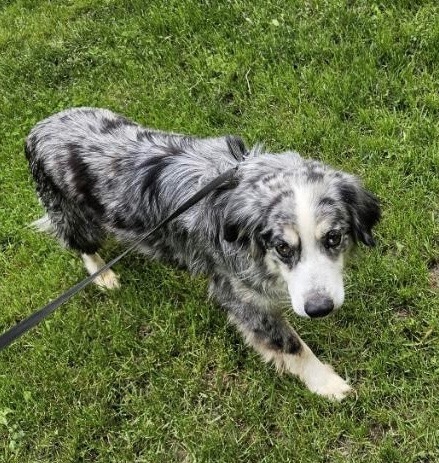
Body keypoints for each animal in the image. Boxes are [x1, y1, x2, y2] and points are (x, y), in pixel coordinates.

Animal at [25, 107, 380, 400]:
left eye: (333, 238)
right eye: (282, 247)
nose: (320, 309)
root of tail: (38, 129)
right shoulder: (239, 295)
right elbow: (291, 346)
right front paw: (328, 383)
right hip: (75, 218)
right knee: (81, 247)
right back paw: (104, 275)